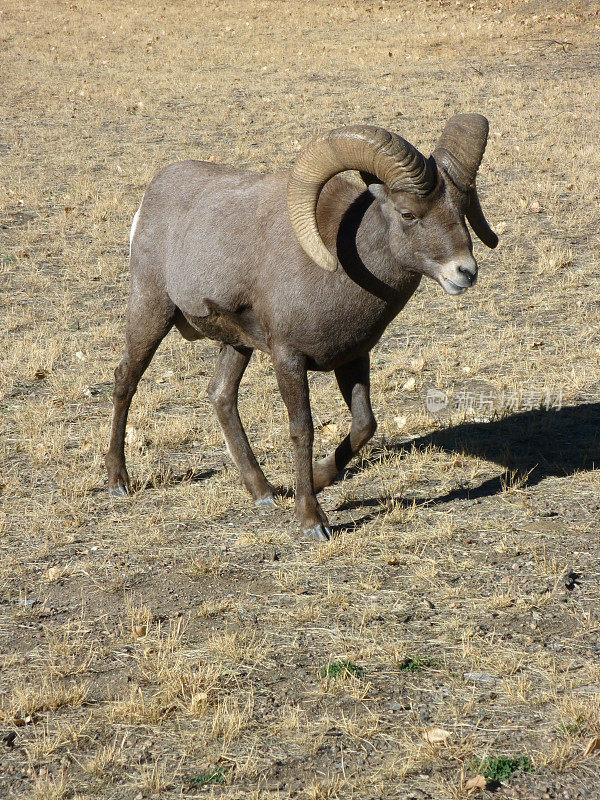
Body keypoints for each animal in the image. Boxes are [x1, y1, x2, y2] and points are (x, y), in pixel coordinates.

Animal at [106, 114, 496, 536]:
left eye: (462, 209)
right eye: (408, 213)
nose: (465, 272)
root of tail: (151, 196)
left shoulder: (353, 358)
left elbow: (364, 424)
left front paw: (321, 479)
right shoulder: (288, 359)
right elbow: (302, 430)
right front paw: (312, 519)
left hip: (237, 344)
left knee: (220, 394)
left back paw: (263, 491)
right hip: (151, 311)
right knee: (126, 380)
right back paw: (118, 481)